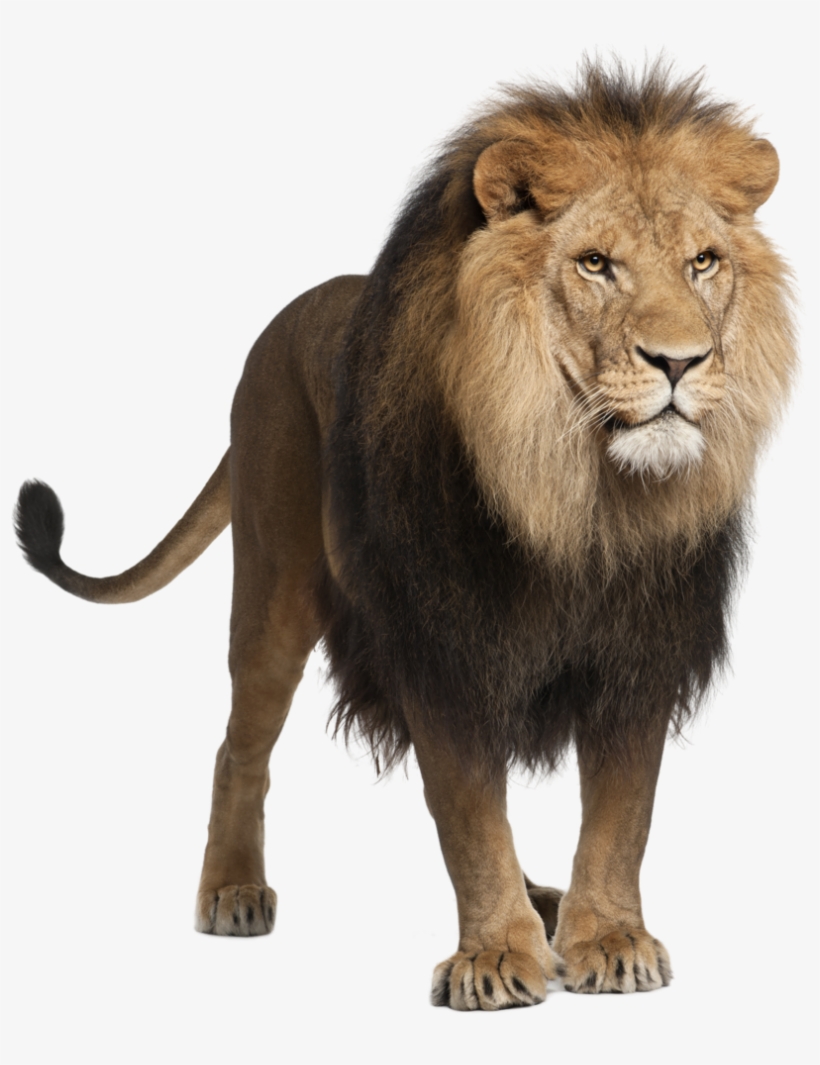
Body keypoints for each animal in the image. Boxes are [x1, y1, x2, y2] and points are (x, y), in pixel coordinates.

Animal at [14, 61, 795, 1010]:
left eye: (703, 261)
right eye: (596, 264)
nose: (680, 362)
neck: (577, 494)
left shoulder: (638, 652)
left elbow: (621, 813)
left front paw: (607, 937)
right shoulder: (440, 643)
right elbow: (467, 812)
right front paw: (495, 956)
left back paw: (548, 902)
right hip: (273, 588)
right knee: (239, 743)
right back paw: (233, 888)